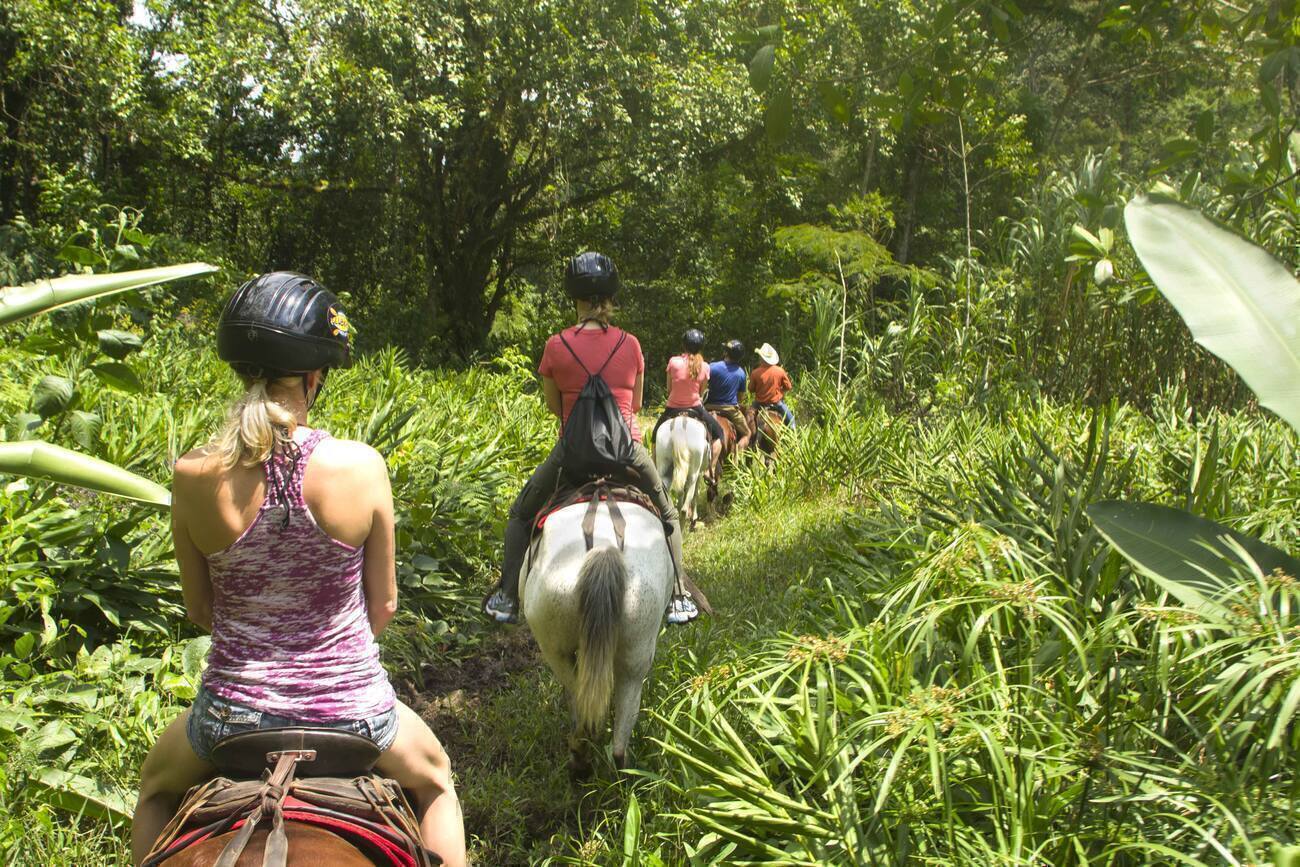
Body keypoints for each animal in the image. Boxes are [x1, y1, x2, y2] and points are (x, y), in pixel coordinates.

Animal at [514, 499, 670, 774]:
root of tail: (604, 549)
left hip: (554, 650)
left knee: (580, 702)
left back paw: (580, 763)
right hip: (635, 651)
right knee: (618, 737)